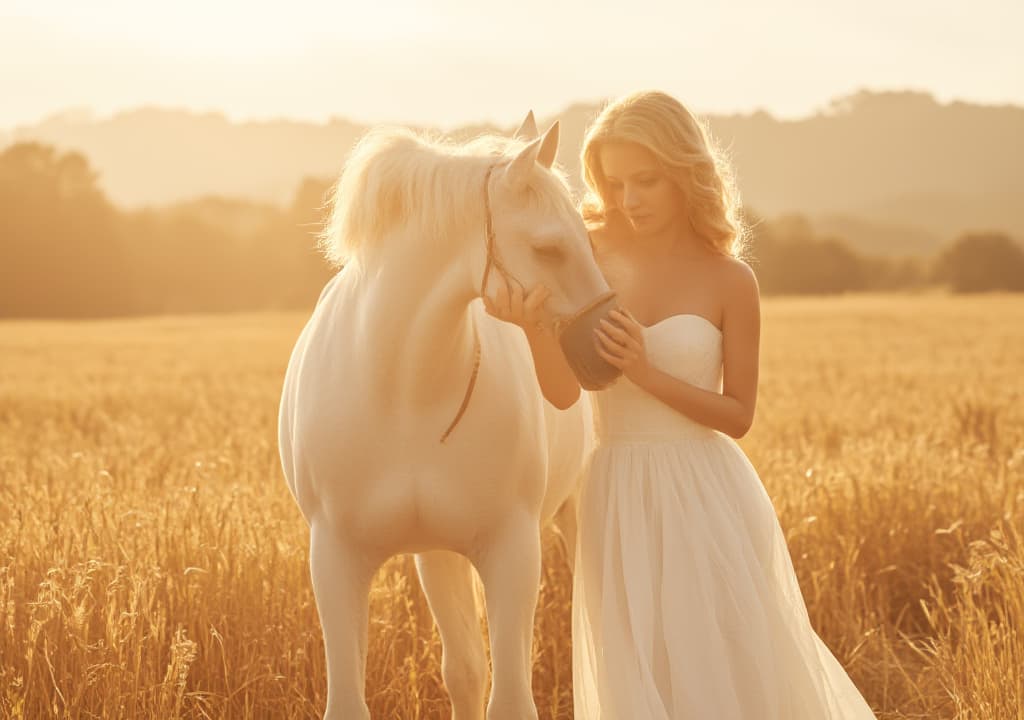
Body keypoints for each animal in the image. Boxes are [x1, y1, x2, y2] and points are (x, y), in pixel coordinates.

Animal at [278, 115, 614, 716]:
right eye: (547, 248)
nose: (606, 349)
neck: (404, 394)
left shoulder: (512, 551)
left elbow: (511, 699)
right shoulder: (335, 557)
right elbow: (352, 700)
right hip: (436, 554)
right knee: (464, 670)